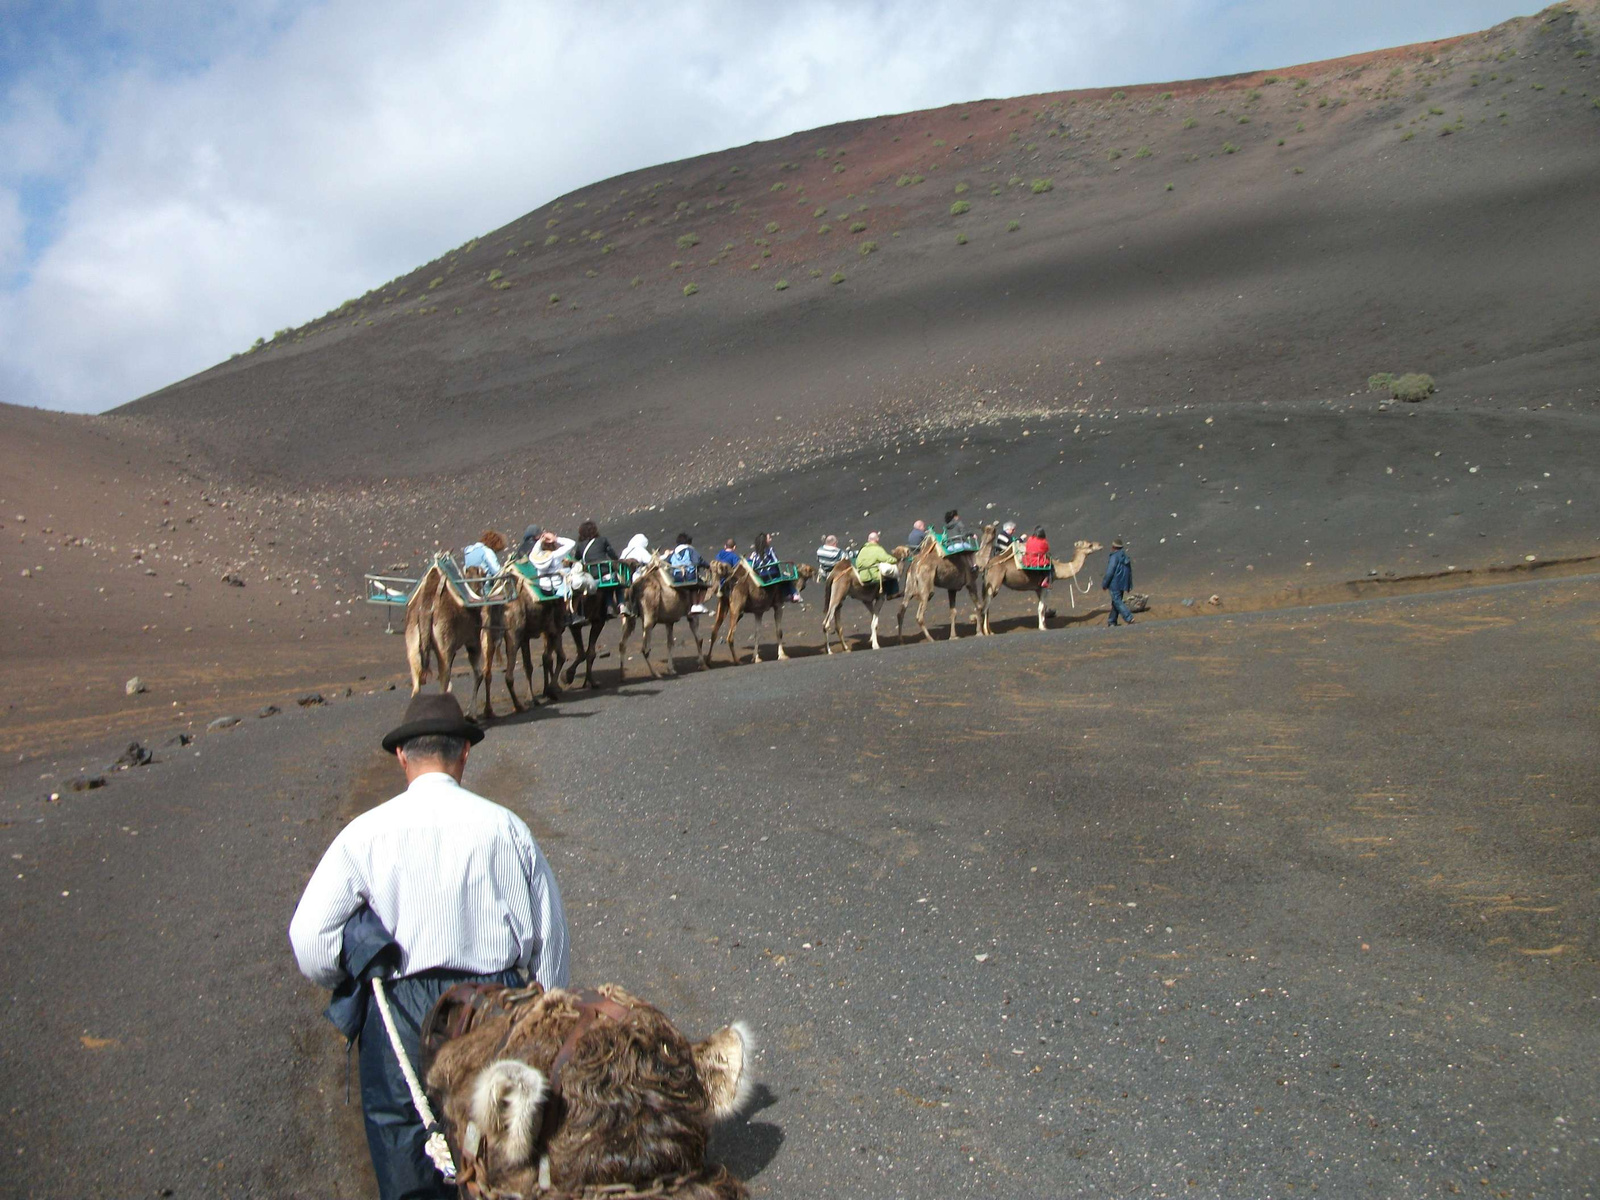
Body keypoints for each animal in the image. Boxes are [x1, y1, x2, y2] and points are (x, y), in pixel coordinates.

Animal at [972, 544, 1100, 640]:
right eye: (1090, 545)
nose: (1100, 545)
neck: (1056, 569)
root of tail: (987, 566)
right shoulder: (1045, 587)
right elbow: (1041, 608)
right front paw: (1043, 627)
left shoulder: (1038, 589)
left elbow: (1042, 607)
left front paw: (1044, 624)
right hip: (994, 583)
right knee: (985, 607)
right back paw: (985, 632)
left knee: (986, 606)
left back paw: (990, 631)